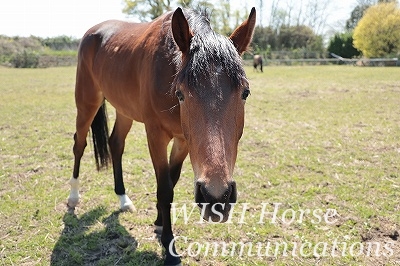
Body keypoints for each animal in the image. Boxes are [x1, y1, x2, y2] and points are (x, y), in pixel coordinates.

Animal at [68, 6, 256, 266]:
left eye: (245, 93)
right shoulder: (155, 135)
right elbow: (164, 187)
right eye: (180, 94)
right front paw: (169, 247)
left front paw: (159, 222)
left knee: (116, 144)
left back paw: (123, 199)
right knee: (79, 144)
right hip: (87, 101)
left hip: (124, 110)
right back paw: (73, 197)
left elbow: (170, 180)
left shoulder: (183, 140)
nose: (216, 197)